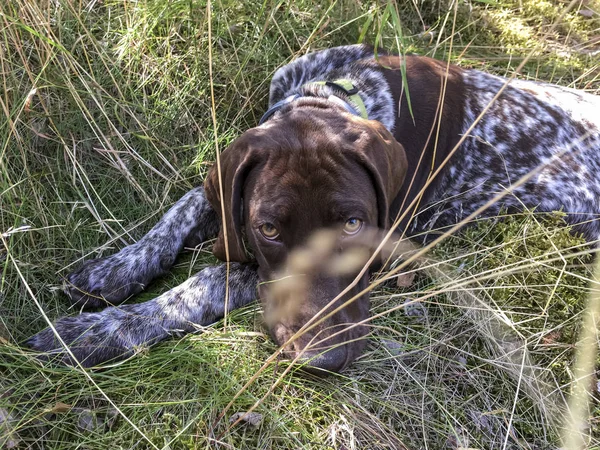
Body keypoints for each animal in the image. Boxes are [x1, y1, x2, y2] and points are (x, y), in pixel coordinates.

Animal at [28, 44, 600, 370]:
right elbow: (183, 210)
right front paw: (116, 270)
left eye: (353, 224)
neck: (344, 97)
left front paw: (106, 330)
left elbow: (209, 279)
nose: (325, 360)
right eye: (268, 228)